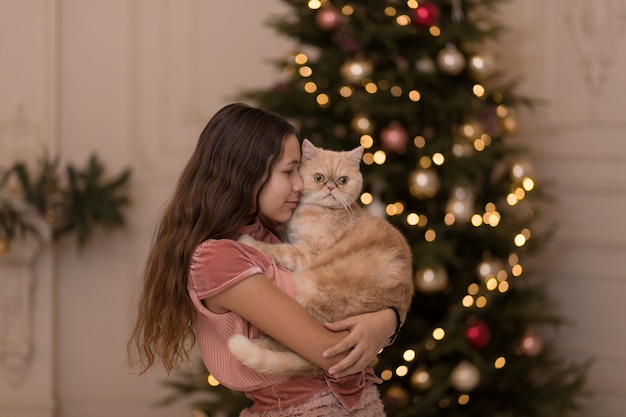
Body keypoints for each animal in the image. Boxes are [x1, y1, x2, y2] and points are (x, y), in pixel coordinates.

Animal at [230, 139, 414, 374]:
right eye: (319, 177)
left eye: (343, 180)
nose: (331, 187)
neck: (319, 211)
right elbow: (283, 237)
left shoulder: (305, 254)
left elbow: (277, 249)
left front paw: (249, 241)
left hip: (309, 293)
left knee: (287, 341)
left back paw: (261, 343)